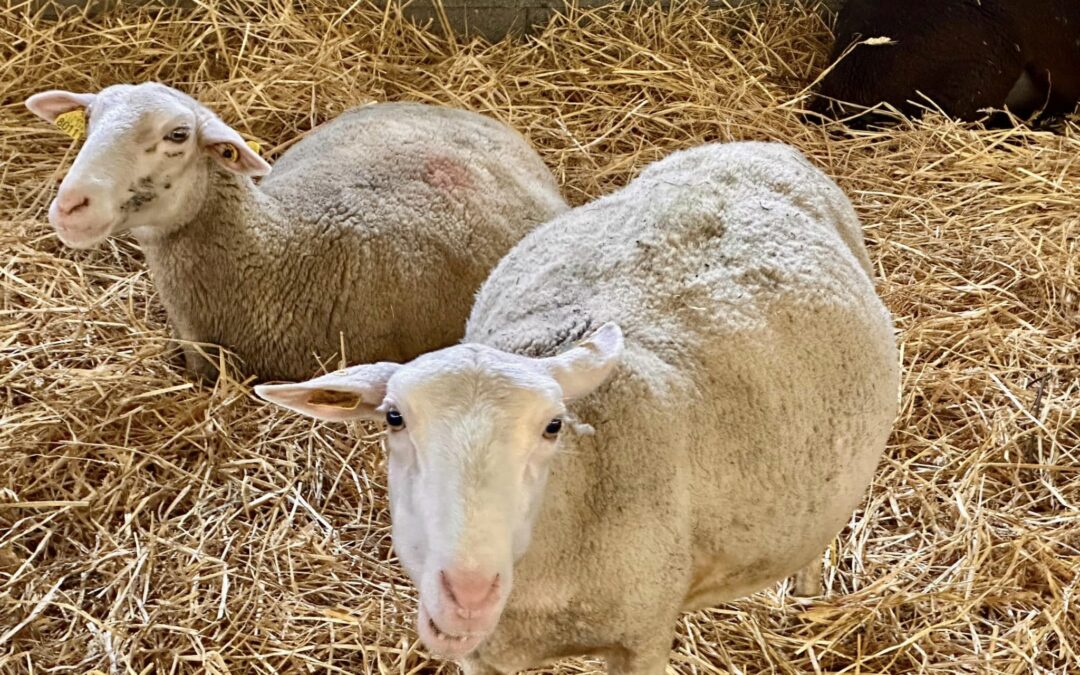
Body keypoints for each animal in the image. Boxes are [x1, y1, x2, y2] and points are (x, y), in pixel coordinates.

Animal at [252, 139, 894, 669]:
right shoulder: (482, 656)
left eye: (553, 426)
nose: (468, 595)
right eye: (393, 418)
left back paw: (806, 596)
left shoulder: (643, 636)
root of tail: (757, 144)